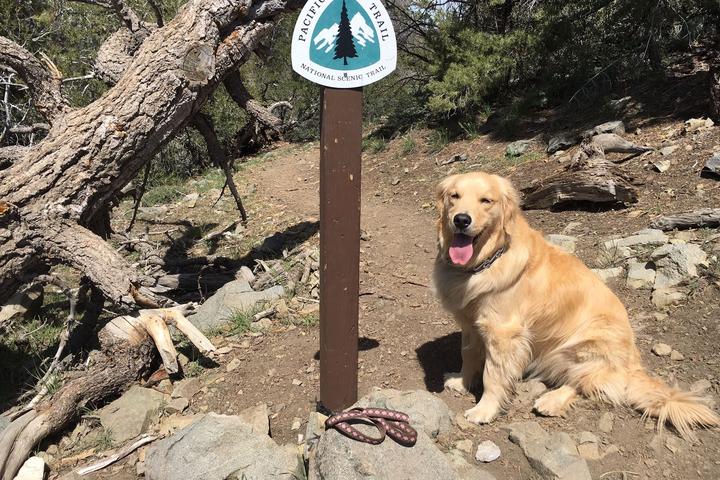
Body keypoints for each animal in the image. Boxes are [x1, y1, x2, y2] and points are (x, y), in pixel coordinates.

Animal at [430, 171, 716, 436]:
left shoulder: (504, 334)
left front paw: (484, 410)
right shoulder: (470, 322)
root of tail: (632, 364)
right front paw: (462, 382)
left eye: (486, 200)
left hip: (581, 344)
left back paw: (552, 400)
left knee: (590, 382)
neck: (482, 263)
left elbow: (493, 375)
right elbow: (468, 355)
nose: (461, 220)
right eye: (454, 196)